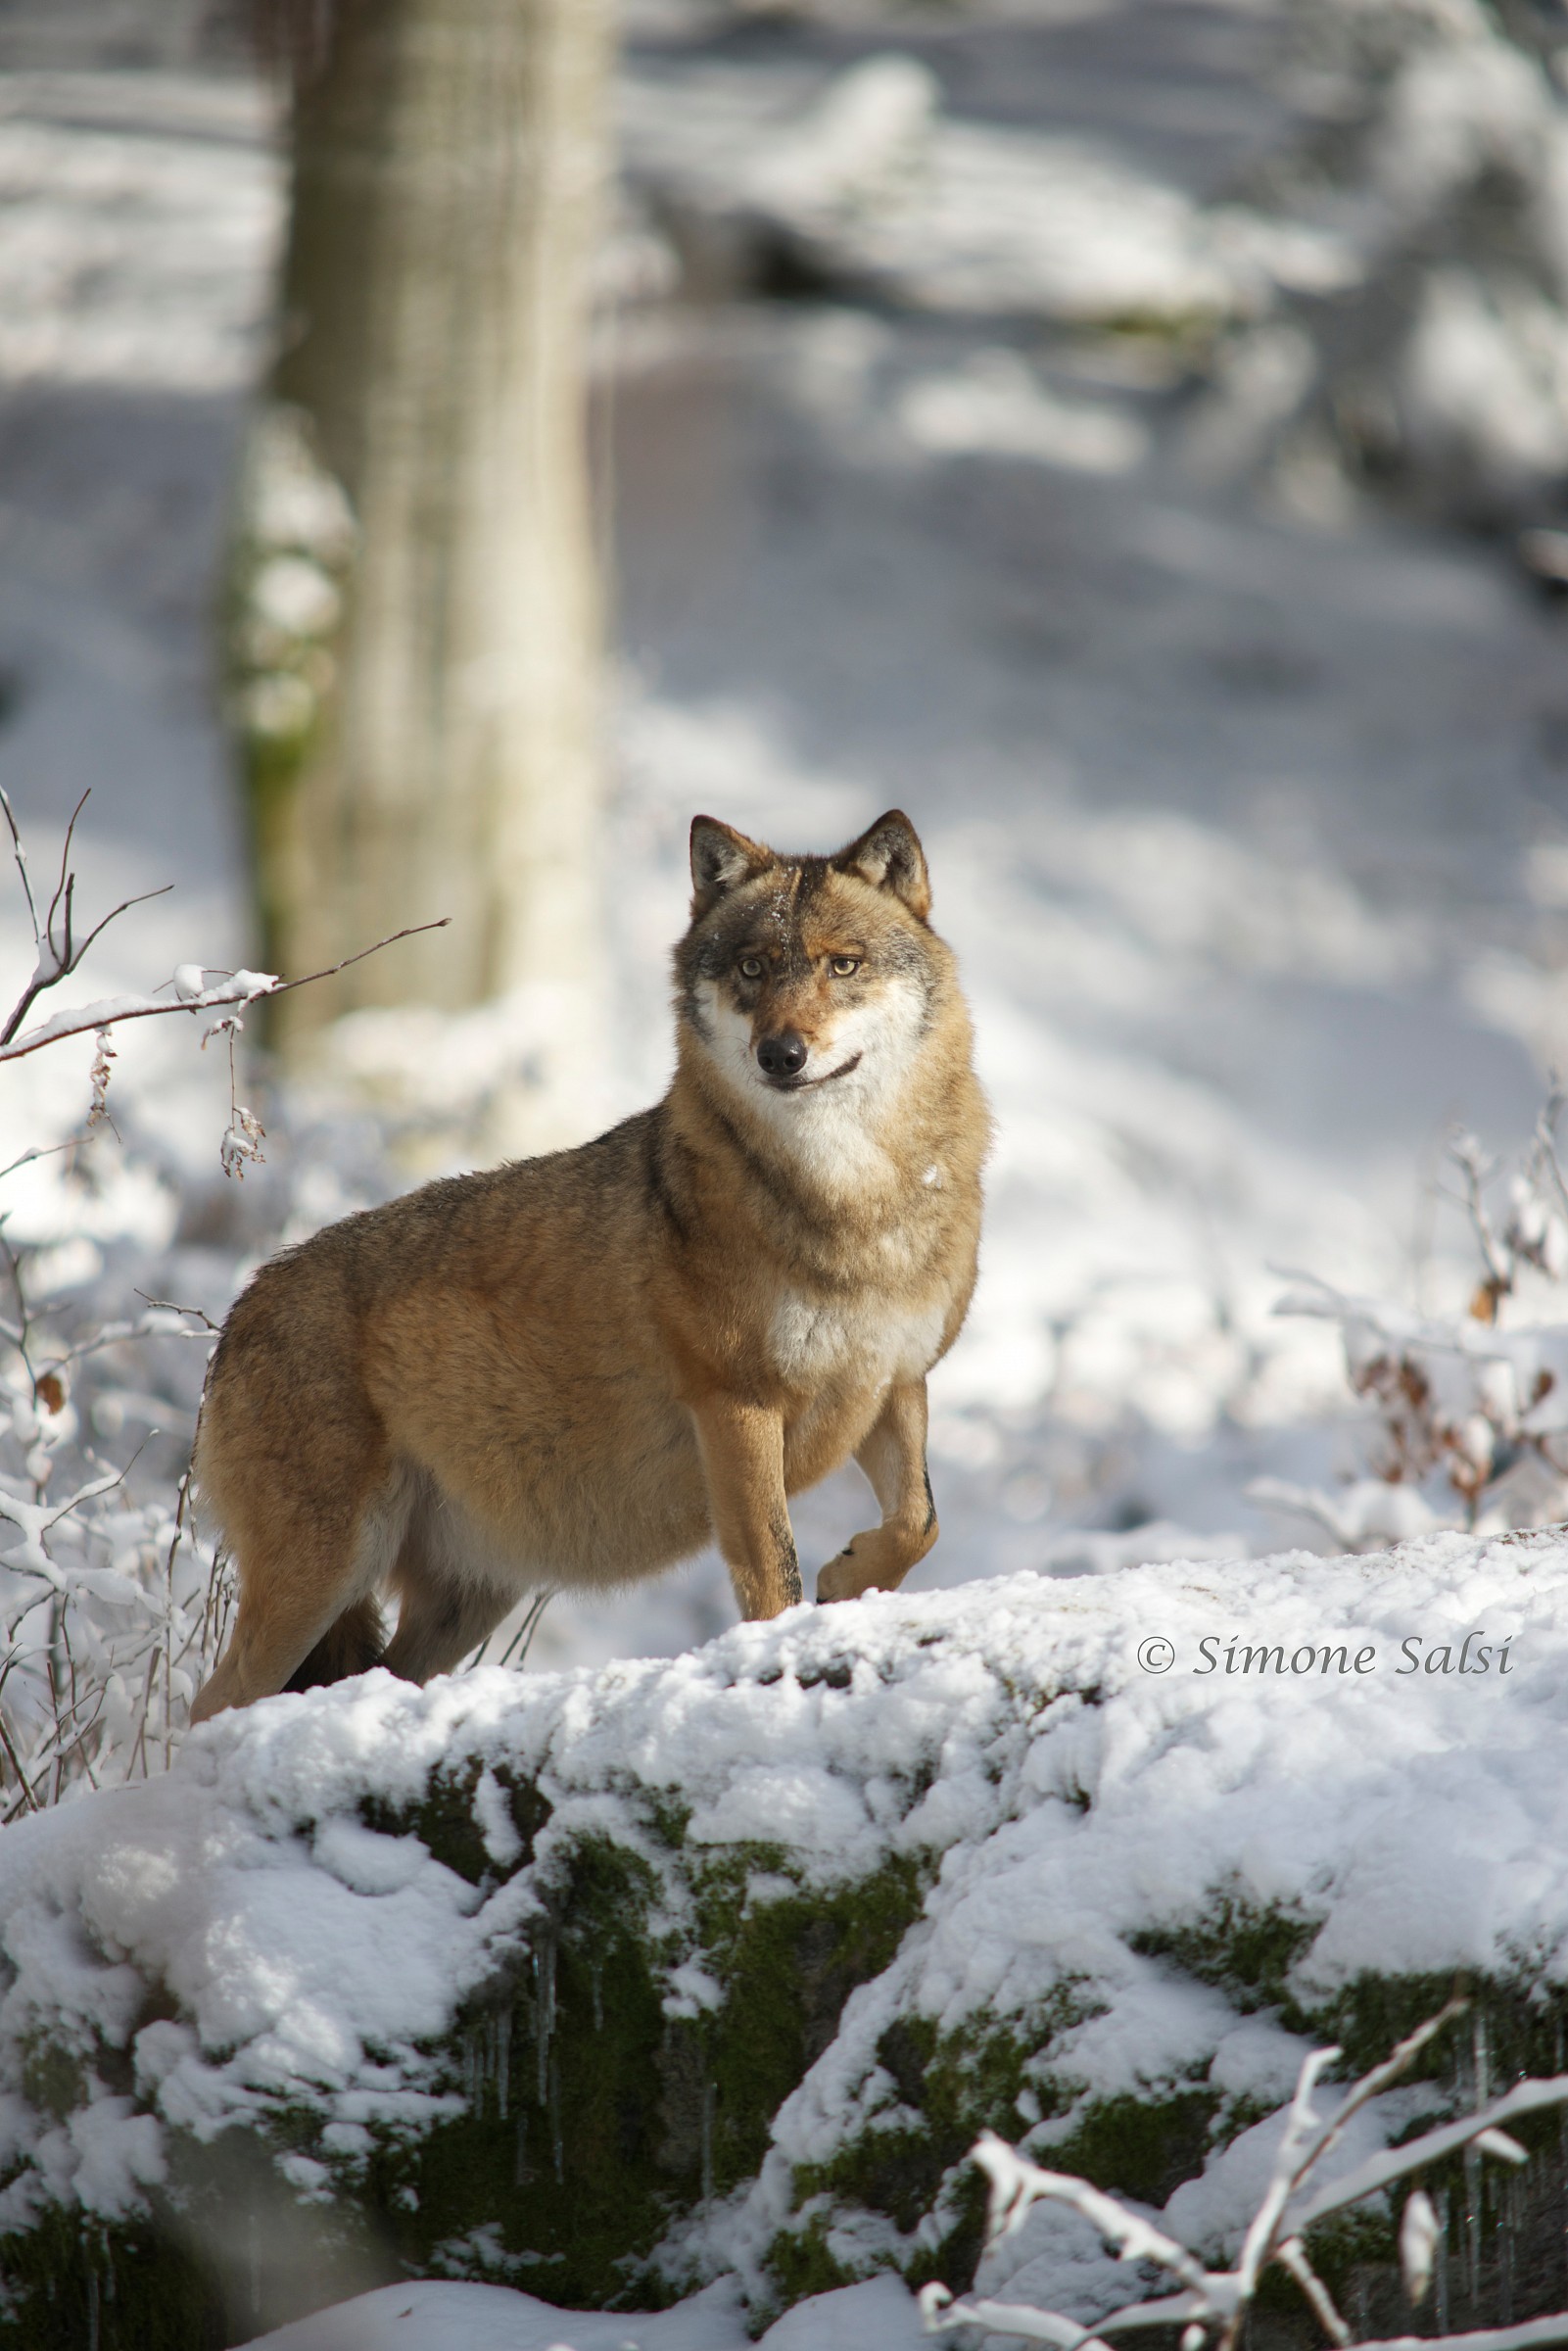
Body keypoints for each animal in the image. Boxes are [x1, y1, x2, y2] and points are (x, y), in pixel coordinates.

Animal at [189, 809, 989, 1721]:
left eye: (841, 965)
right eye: (752, 968)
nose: (780, 1054)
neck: (854, 1207)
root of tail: (238, 1313)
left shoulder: (896, 1381)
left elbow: (918, 1522)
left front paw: (848, 1580)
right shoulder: (736, 1404)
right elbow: (772, 1570)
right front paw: (784, 1642)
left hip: (461, 1604)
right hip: (324, 1577)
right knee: (209, 1704)